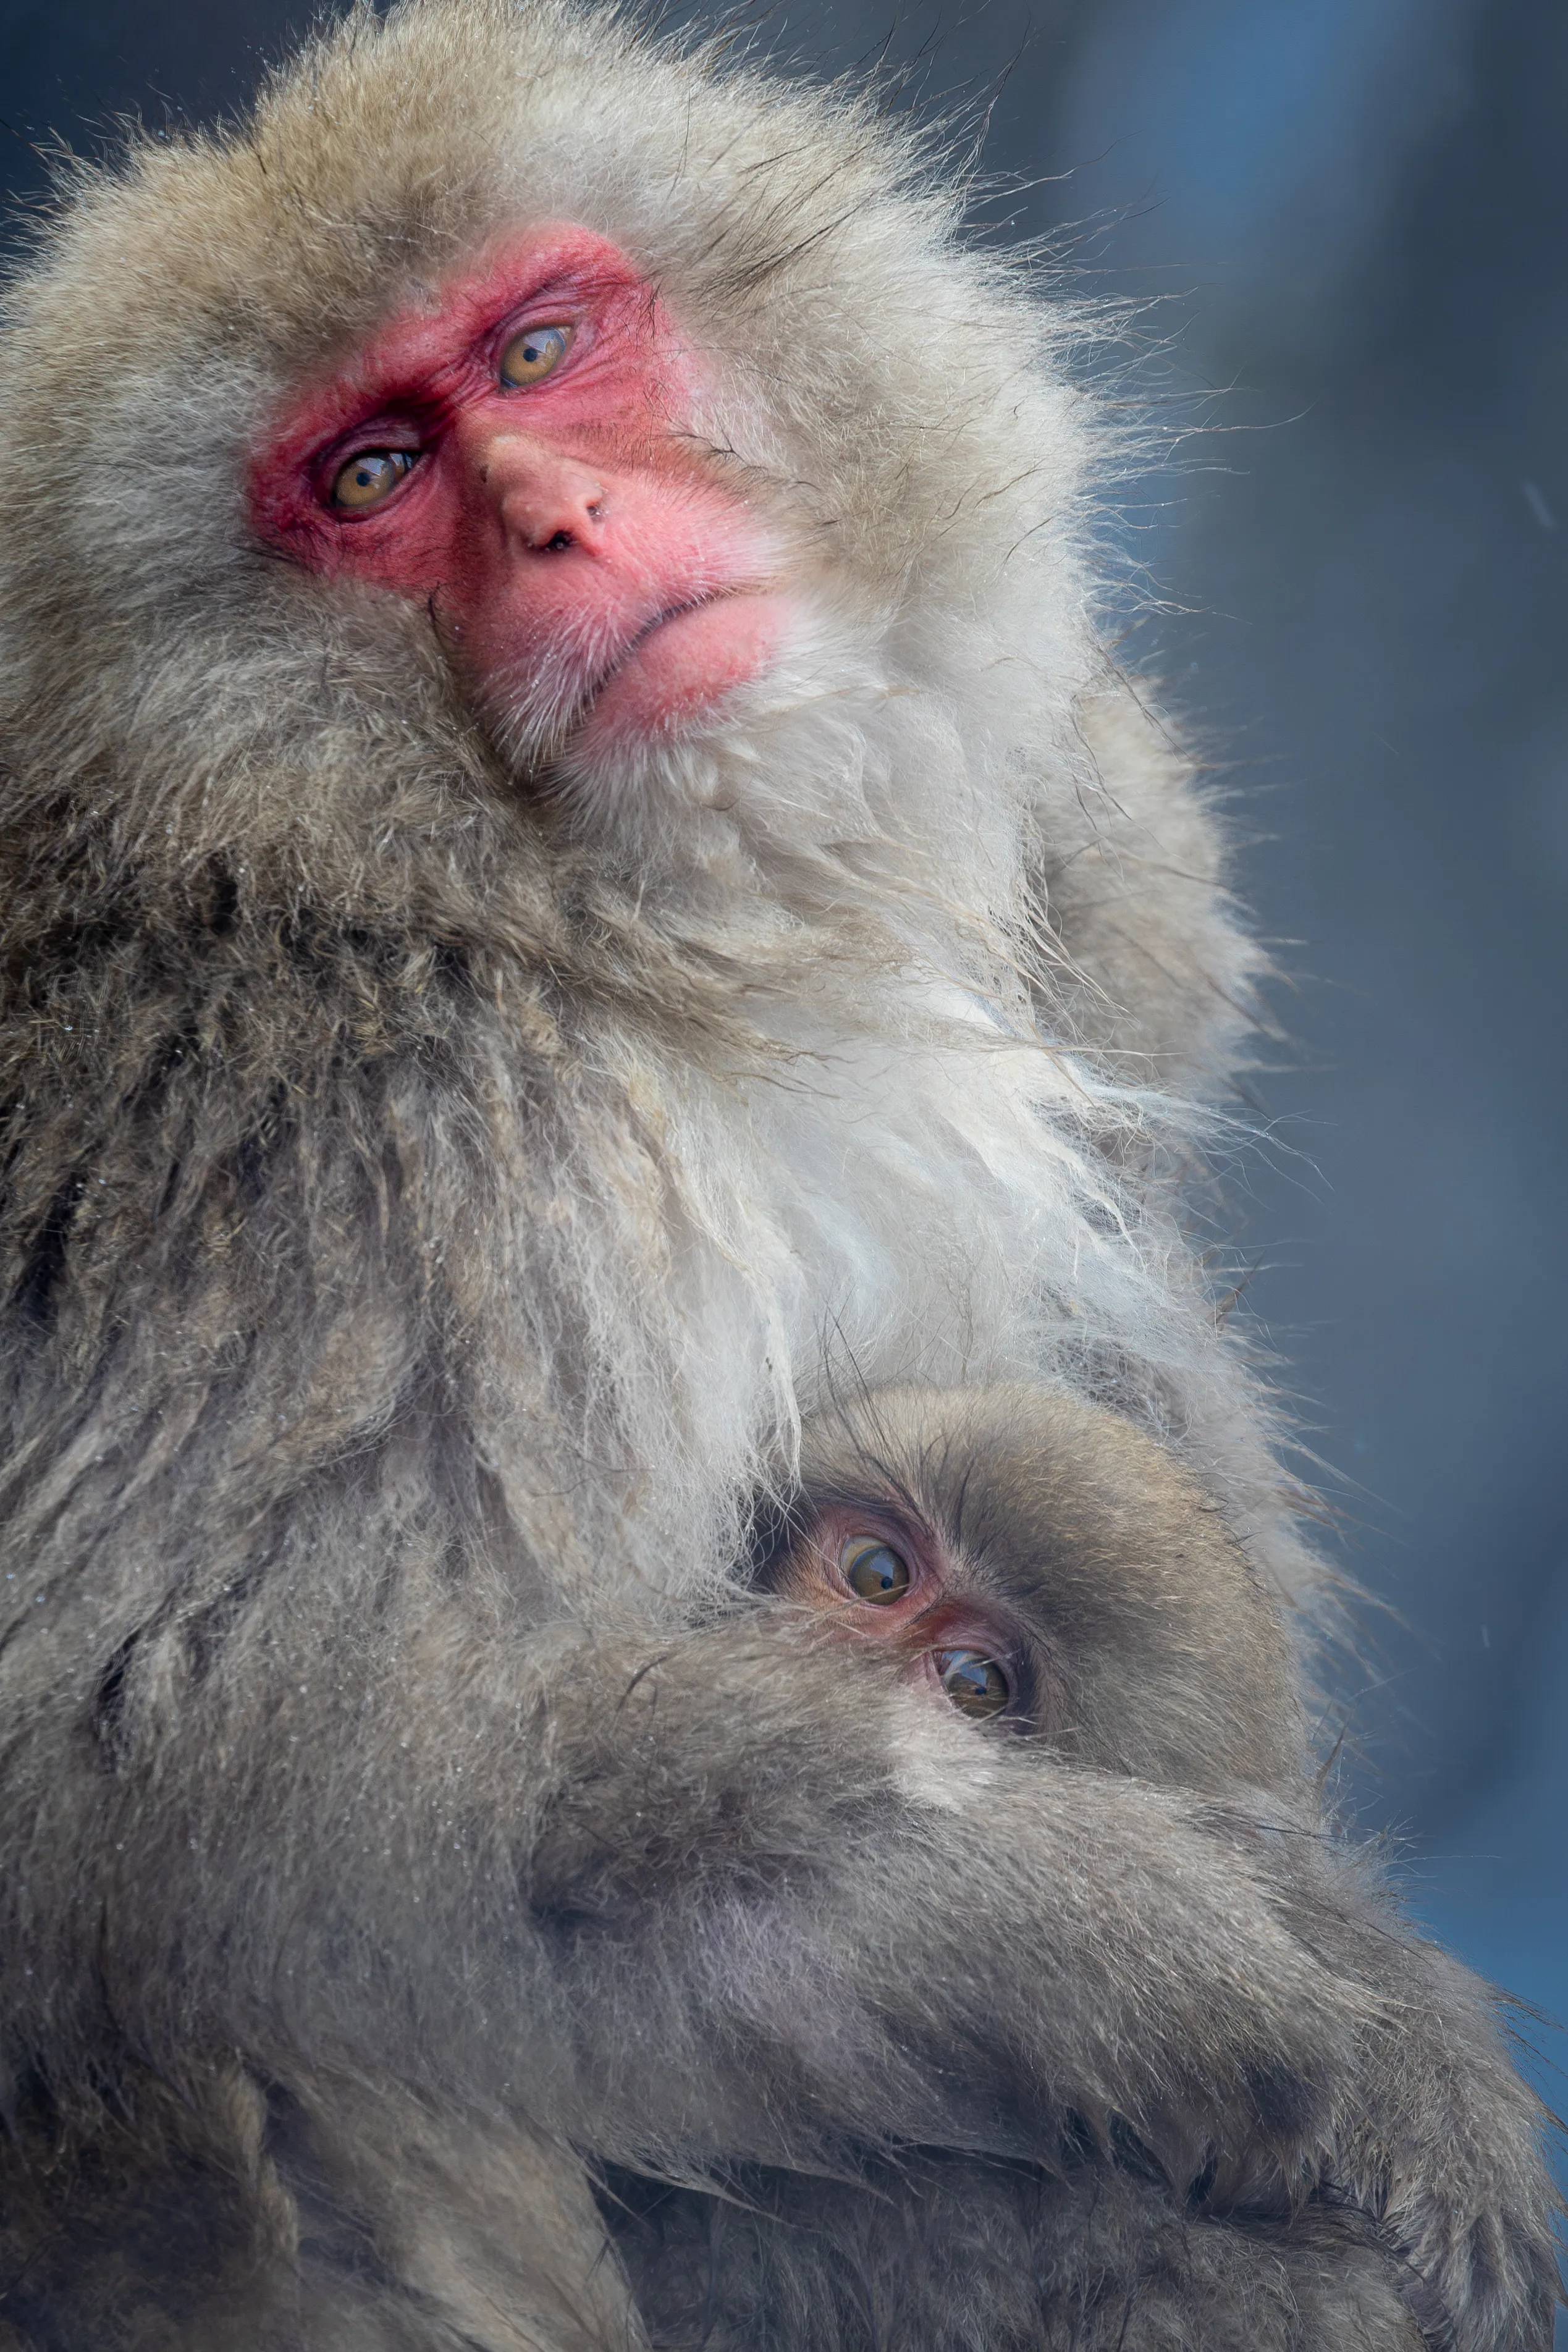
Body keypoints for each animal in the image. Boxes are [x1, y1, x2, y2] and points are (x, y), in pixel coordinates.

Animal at [0, 1, 1555, 2346]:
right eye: (369, 478)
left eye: (541, 348)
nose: (560, 517)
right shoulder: (345, 1150)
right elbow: (203, 1797)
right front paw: (1173, 1963)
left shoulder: (1099, 867)